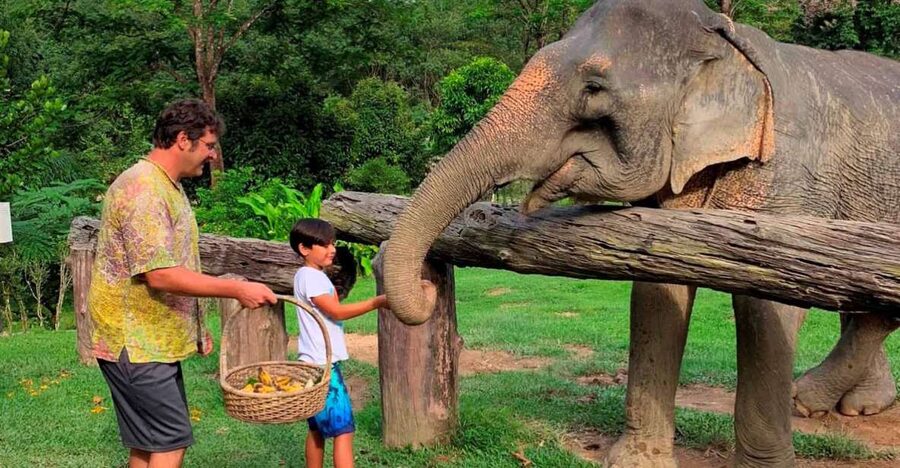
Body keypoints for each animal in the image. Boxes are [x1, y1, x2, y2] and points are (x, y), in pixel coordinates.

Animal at [381, 0, 900, 466]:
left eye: (594, 87)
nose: (425, 285)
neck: (730, 41)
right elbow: (657, 291)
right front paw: (635, 460)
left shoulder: (789, 179)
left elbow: (767, 307)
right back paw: (846, 405)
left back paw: (809, 399)